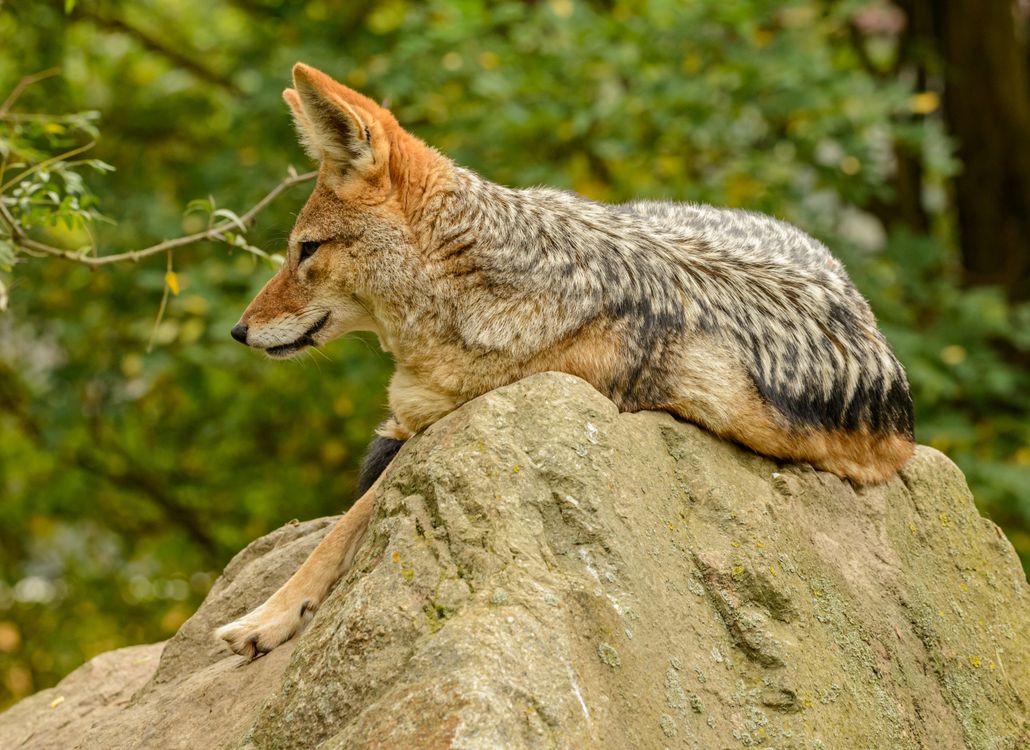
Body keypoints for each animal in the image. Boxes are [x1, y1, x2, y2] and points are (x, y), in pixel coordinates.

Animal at [215, 63, 914, 657]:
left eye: (305, 250)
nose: (239, 331)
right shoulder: (419, 422)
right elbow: (343, 518)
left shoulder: (455, 424)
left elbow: (343, 528)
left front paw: (265, 618)